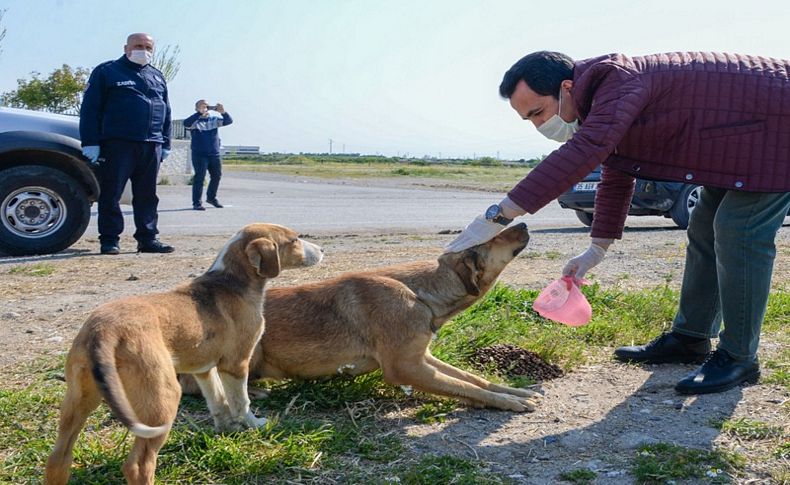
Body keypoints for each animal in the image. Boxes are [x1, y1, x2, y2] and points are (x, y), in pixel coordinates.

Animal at [46, 223, 324, 484]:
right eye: (294, 240)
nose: (322, 251)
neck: (232, 280)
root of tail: (103, 332)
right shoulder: (236, 364)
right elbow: (240, 401)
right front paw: (254, 425)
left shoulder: (204, 369)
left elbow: (218, 401)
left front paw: (227, 429)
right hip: (162, 399)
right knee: (138, 465)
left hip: (78, 400)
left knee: (58, 458)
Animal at [181, 221, 540, 410]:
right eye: (494, 237)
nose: (523, 222)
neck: (420, 293)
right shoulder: (405, 368)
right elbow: (466, 387)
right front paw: (507, 402)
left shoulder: (421, 357)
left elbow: (473, 378)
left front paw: (514, 392)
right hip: (249, 344)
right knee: (199, 386)